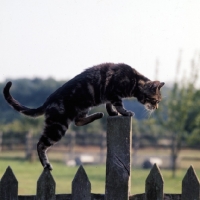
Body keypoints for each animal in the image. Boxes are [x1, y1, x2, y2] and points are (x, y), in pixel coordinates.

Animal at [2, 63, 164, 170]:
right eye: (155, 101)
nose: (156, 108)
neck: (135, 81)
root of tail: (47, 101)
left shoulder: (109, 97)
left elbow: (110, 106)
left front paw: (113, 113)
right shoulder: (114, 93)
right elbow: (118, 105)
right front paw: (125, 112)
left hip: (82, 110)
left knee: (78, 121)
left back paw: (99, 114)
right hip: (58, 127)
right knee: (40, 144)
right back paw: (46, 164)